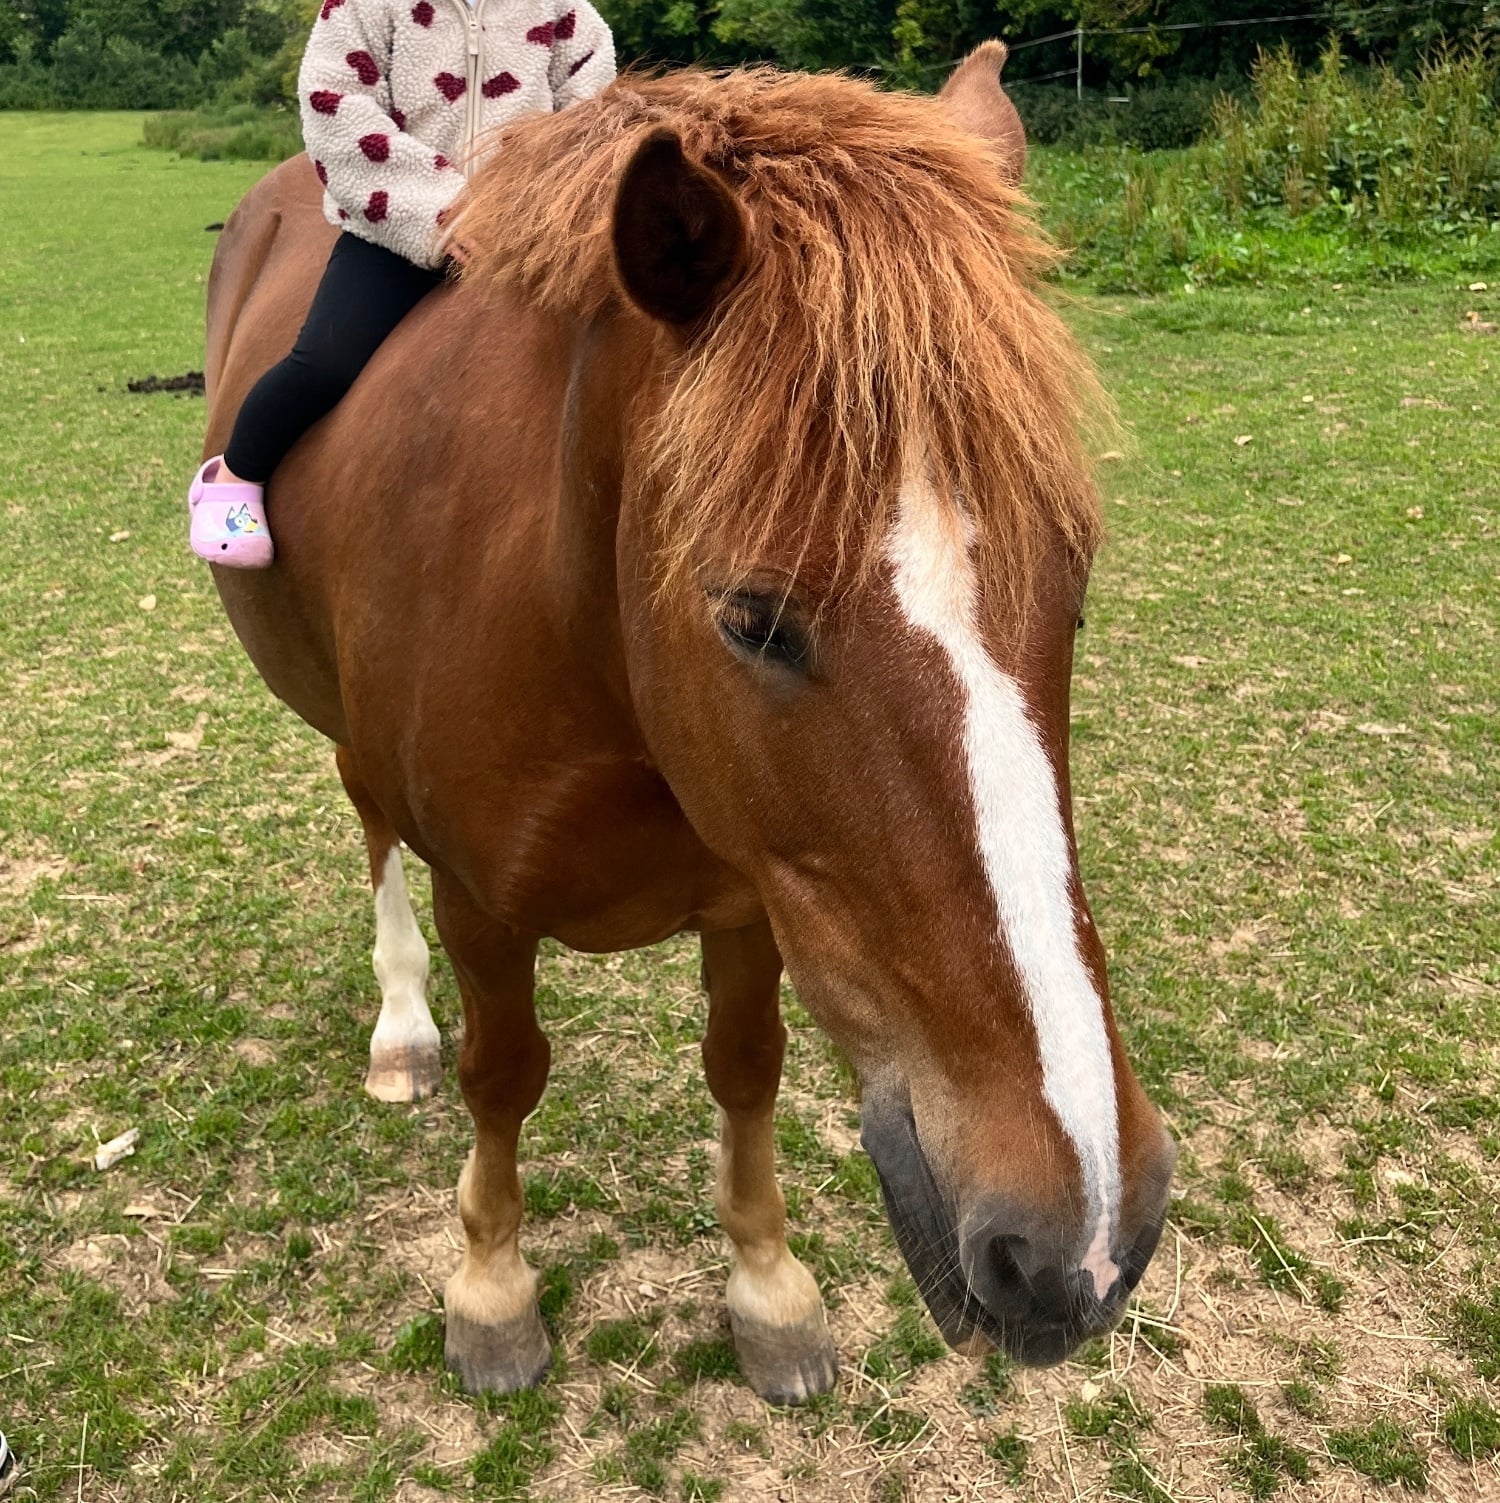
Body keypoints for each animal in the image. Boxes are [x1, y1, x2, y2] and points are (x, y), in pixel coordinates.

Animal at [201, 44, 1176, 1404]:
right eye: (753, 619)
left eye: (1075, 583)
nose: (1079, 1241)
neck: (578, 623)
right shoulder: (479, 899)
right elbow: (504, 1077)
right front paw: (492, 1290)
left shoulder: (757, 892)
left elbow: (746, 1066)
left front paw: (770, 1290)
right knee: (369, 818)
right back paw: (400, 1029)